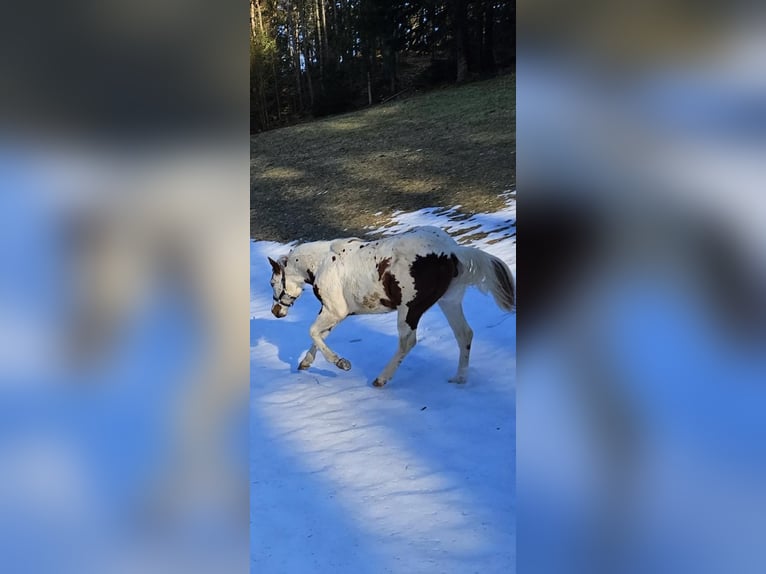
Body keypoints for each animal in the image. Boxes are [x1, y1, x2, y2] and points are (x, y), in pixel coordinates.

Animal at [268, 226, 515, 387]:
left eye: (272, 282)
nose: (276, 311)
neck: (323, 263)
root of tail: (451, 252)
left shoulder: (334, 311)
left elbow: (312, 332)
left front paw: (341, 363)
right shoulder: (336, 314)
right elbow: (319, 337)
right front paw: (305, 363)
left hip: (409, 309)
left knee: (408, 342)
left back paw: (381, 379)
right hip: (449, 302)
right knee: (464, 334)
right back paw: (459, 378)